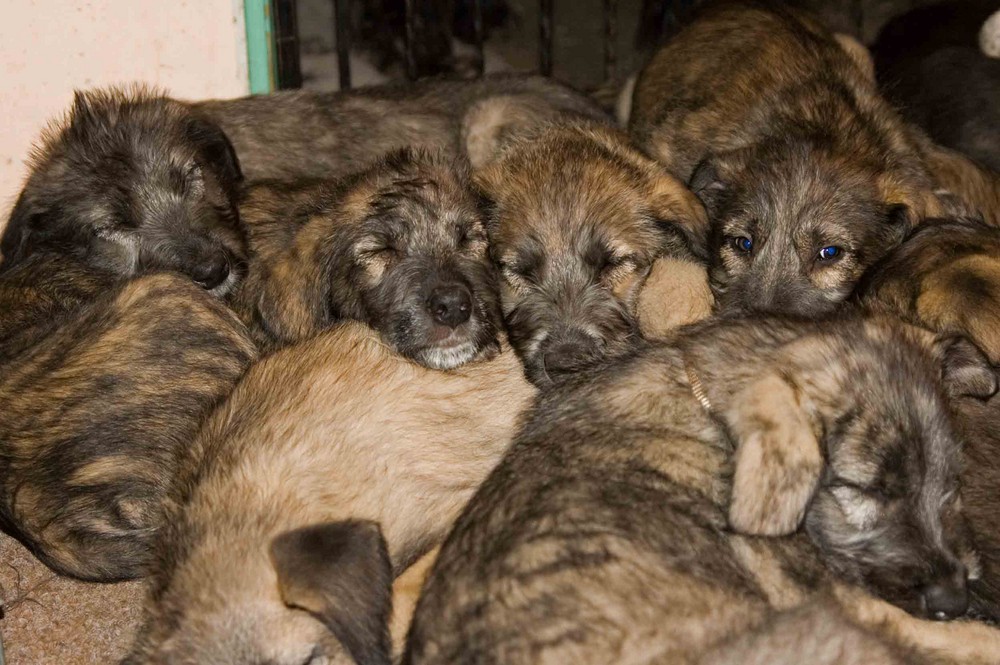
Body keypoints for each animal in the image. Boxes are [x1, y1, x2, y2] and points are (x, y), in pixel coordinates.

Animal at [406, 316, 1000, 664]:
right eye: (863, 487)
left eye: (951, 482)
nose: (954, 598)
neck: (704, 401)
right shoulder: (842, 597)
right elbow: (964, 638)